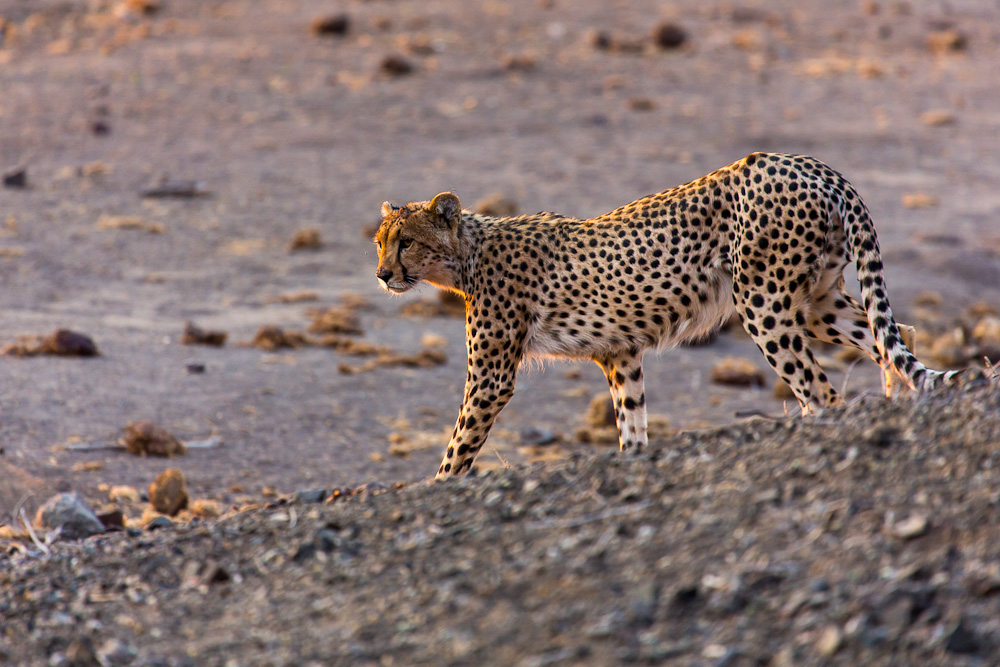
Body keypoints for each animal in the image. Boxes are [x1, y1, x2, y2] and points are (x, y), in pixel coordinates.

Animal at [374, 153, 960, 478]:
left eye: (407, 242)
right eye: (379, 242)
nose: (382, 275)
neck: (468, 253)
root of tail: (806, 163)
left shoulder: (491, 377)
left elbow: (459, 443)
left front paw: (439, 486)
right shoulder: (620, 355)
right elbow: (632, 425)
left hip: (764, 304)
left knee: (821, 390)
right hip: (816, 301)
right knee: (895, 336)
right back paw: (898, 406)